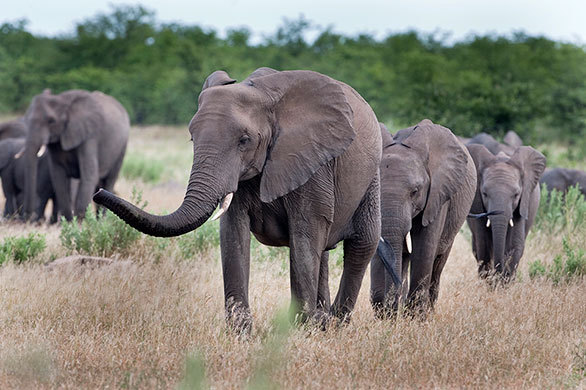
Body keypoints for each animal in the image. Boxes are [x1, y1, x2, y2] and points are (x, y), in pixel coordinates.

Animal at [22, 89, 129, 221]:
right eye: (26, 120)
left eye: (51, 121)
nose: (29, 218)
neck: (62, 99)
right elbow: (58, 176)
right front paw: (68, 221)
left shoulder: (90, 136)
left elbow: (89, 174)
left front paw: (80, 221)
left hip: (122, 146)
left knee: (109, 180)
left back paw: (102, 221)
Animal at [93, 67, 380, 330]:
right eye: (192, 138)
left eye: (244, 140)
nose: (99, 193)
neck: (263, 94)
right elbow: (233, 233)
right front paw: (241, 333)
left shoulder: (312, 160)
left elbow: (305, 233)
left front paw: (302, 329)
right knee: (325, 251)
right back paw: (323, 322)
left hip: (371, 175)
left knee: (361, 244)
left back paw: (335, 324)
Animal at [372, 119, 476, 316]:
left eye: (415, 191)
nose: (393, 309)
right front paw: (384, 315)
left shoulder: (438, 195)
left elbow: (424, 248)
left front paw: (414, 317)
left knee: (437, 263)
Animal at [464, 143, 544, 284]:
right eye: (484, 194)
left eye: (516, 195)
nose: (497, 274)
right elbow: (483, 245)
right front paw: (490, 283)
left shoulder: (522, 204)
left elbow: (514, 246)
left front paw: (502, 284)